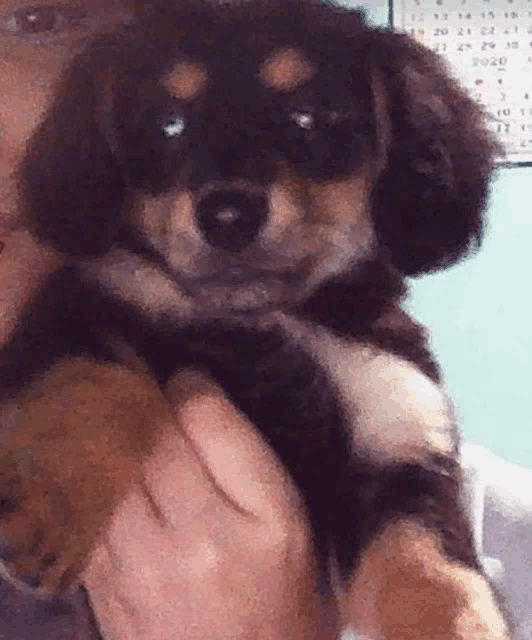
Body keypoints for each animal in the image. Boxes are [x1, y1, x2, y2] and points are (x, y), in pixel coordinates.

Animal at [0, 1, 512, 636]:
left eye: (309, 116)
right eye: (169, 124)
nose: (227, 215)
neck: (265, 317)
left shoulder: (399, 450)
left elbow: (436, 576)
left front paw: (466, 624)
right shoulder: (85, 301)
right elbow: (92, 385)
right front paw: (44, 511)